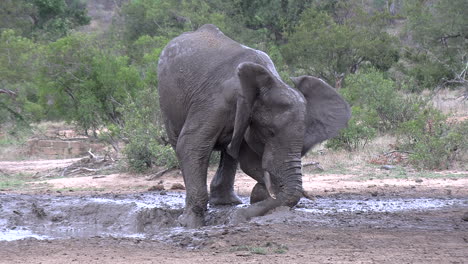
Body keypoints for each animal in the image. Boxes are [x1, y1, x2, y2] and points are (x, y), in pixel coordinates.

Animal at [158, 24, 352, 227]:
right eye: (269, 132)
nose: (238, 218)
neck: (271, 81)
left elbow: (247, 160)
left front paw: (258, 195)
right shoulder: (214, 104)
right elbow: (191, 146)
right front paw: (188, 224)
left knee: (229, 153)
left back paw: (228, 203)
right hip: (167, 101)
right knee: (180, 142)